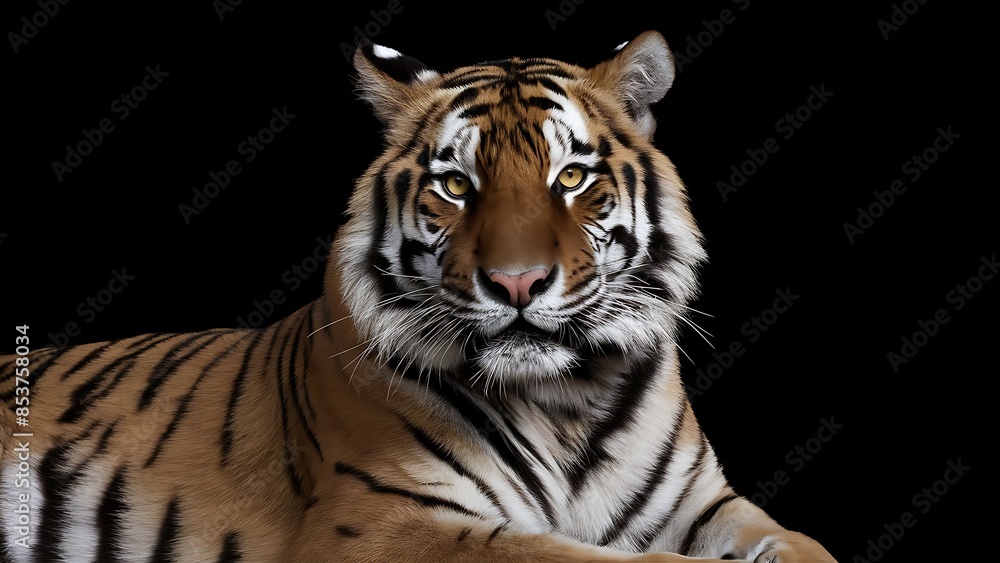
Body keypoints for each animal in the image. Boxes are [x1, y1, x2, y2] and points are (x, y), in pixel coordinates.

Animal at [0, 30, 837, 562]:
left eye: (570, 177)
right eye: (457, 185)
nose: (518, 282)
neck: (567, 398)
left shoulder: (703, 503)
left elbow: (803, 543)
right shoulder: (385, 520)